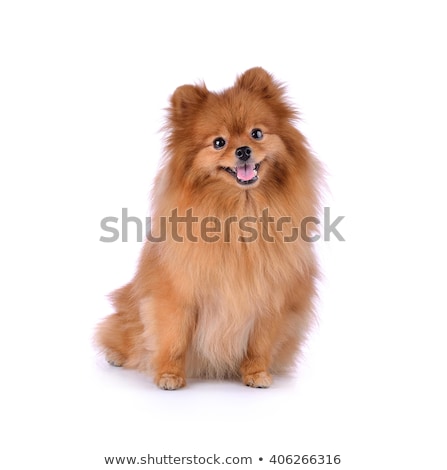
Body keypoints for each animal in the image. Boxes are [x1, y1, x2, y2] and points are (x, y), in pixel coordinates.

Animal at [97, 67, 322, 390]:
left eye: (256, 133)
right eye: (219, 142)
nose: (243, 150)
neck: (241, 213)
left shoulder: (271, 297)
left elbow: (260, 343)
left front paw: (256, 373)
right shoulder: (178, 294)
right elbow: (174, 337)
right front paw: (169, 375)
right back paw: (116, 355)